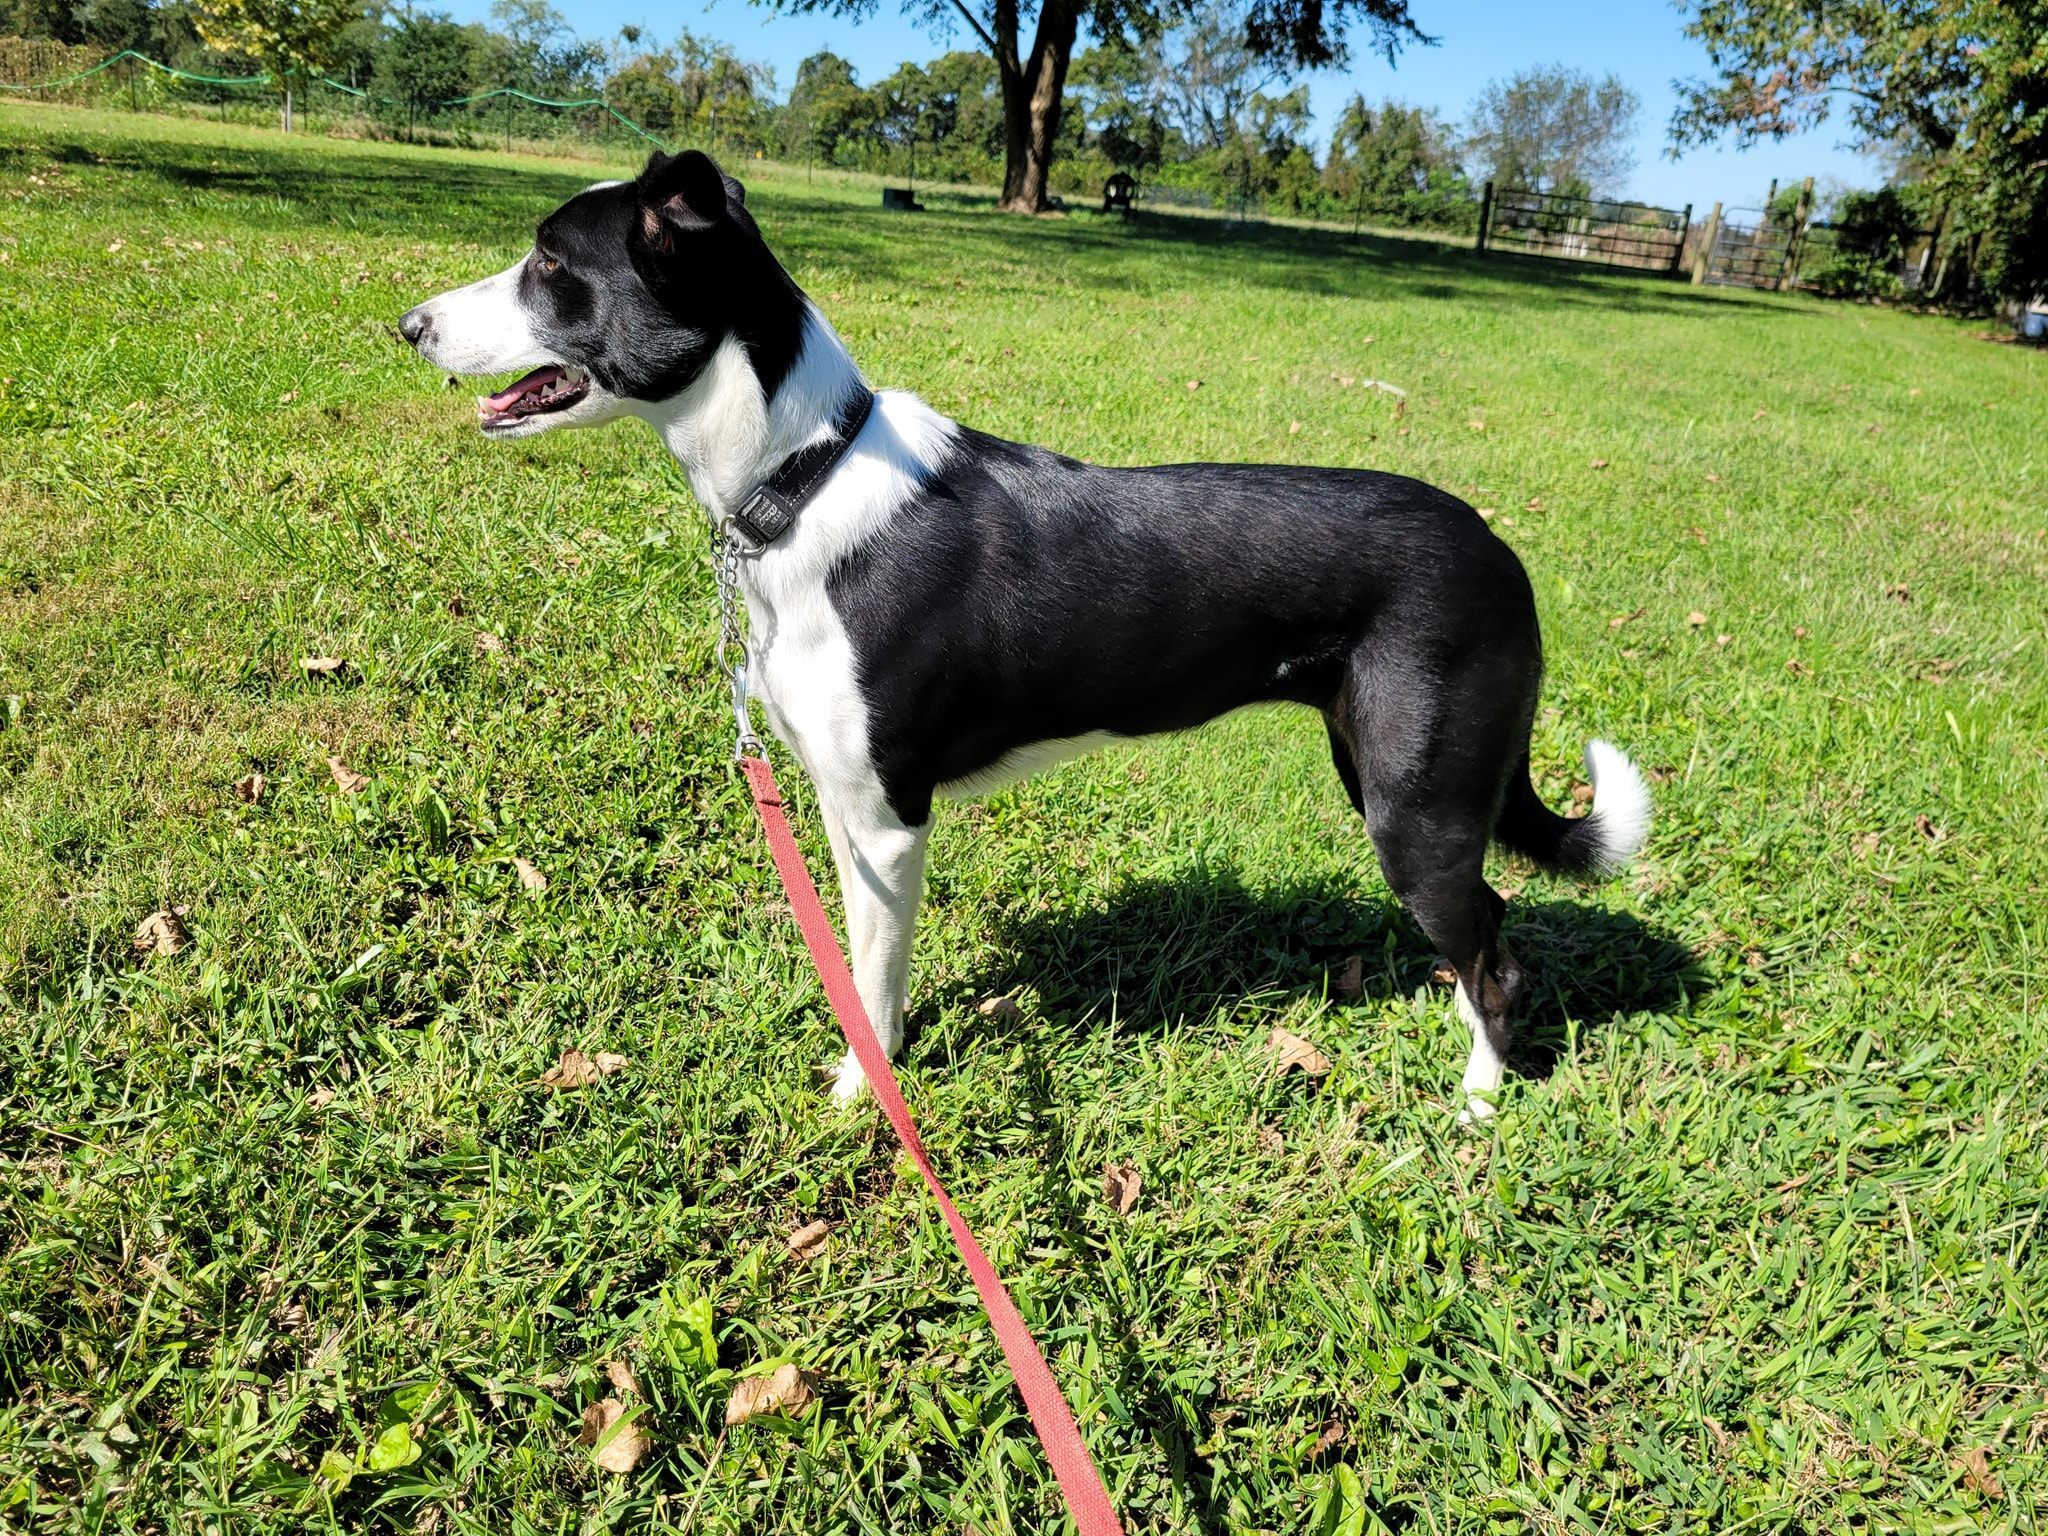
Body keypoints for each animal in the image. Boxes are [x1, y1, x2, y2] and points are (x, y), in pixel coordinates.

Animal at [395, 150, 1646, 1122]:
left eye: (550, 262)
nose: (408, 326)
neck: (802, 473)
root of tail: (1498, 551)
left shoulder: (891, 817)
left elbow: (875, 976)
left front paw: (865, 1092)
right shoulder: (842, 803)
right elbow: (860, 956)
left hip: (1414, 804)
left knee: (1493, 948)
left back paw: (1476, 1101)